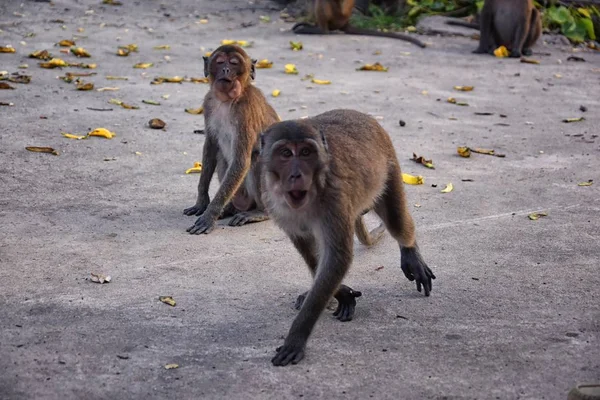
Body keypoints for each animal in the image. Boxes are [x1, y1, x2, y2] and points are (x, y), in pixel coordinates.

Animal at [184, 45, 280, 234]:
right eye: (220, 62)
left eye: (234, 63)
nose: (226, 70)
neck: (227, 101)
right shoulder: (209, 103)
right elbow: (211, 146)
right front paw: (202, 201)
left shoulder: (245, 111)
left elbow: (242, 161)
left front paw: (210, 214)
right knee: (222, 157)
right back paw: (230, 208)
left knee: (257, 159)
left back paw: (260, 212)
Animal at [260, 108, 434, 366]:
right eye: (285, 153)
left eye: (306, 152)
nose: (296, 175)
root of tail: (363, 115)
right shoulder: (273, 202)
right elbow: (308, 248)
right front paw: (341, 293)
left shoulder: (335, 198)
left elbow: (337, 257)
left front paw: (297, 335)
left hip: (389, 166)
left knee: (396, 220)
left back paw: (411, 251)